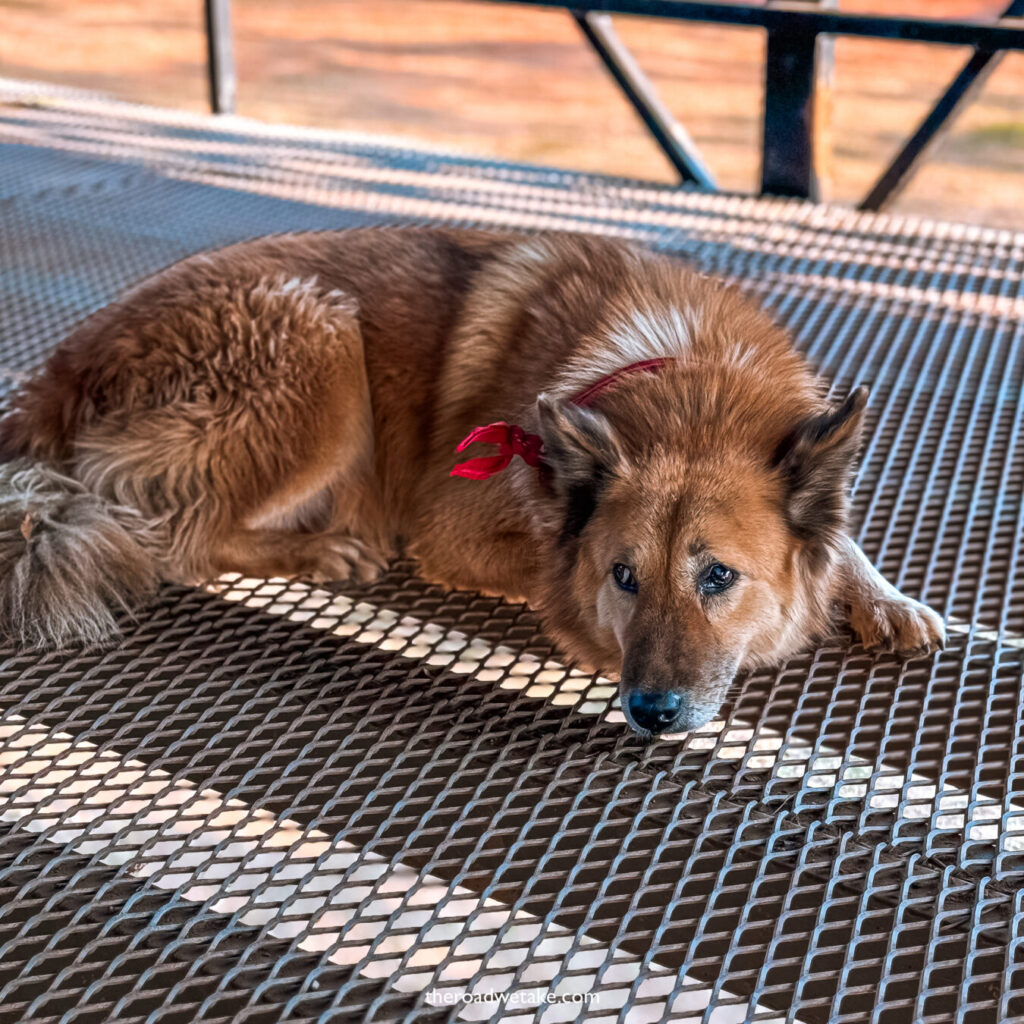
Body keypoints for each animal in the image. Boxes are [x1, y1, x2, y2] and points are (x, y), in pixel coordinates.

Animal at [0, 226, 942, 737]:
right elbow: (547, 567)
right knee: (180, 536)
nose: (652, 710)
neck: (686, 376)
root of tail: (64, 368)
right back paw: (324, 548)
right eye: (623, 576)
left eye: (718, 577)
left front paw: (883, 595)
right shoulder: (451, 523)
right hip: (320, 339)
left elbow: (838, 537)